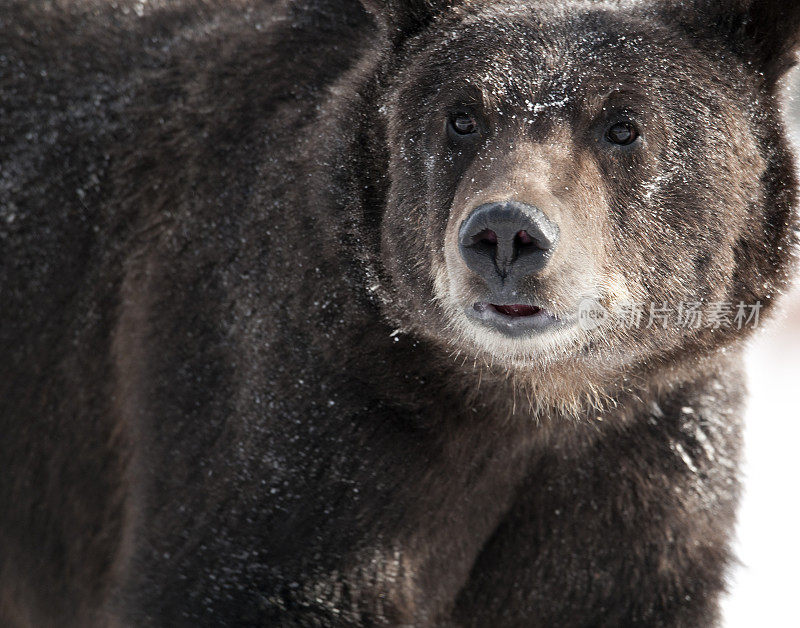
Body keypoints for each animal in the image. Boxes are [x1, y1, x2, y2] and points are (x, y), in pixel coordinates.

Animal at [0, 0, 796, 624]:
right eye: (462, 117)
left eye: (624, 125)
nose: (506, 234)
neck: (527, 404)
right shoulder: (304, 442)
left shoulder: (641, 475)